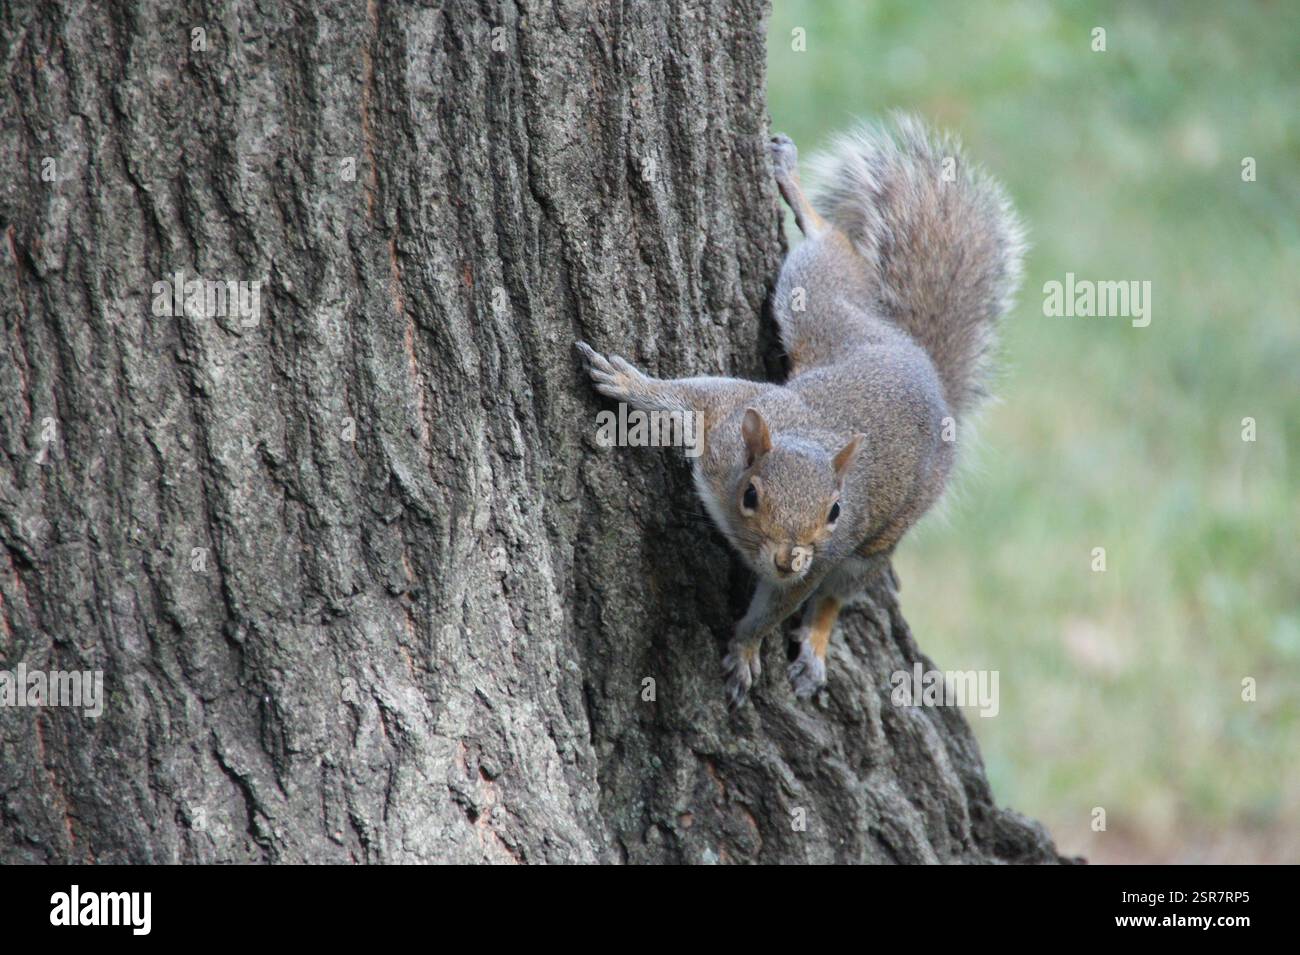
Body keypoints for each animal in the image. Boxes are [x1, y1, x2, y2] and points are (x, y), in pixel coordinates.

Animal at [577, 115, 1024, 708]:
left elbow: (779, 608)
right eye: (751, 495)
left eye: (835, 511)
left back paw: (815, 646)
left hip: (878, 540)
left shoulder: (824, 556)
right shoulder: (728, 420)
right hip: (825, 315)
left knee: (839, 595)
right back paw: (795, 190)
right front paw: (629, 382)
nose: (789, 557)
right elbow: (687, 397)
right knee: (827, 256)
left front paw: (746, 649)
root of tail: (924, 367)